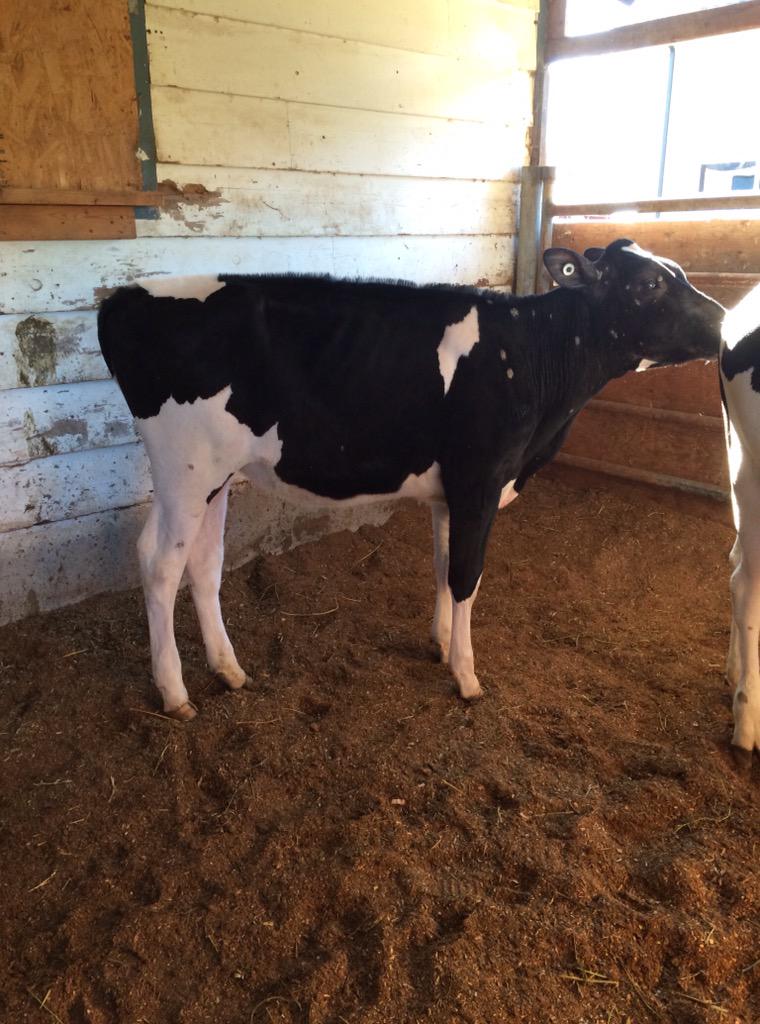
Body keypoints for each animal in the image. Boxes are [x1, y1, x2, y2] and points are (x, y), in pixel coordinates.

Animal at [98, 239, 723, 720]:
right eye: (650, 284)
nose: (724, 322)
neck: (530, 357)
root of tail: (124, 296)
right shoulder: (480, 481)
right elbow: (468, 577)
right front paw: (466, 677)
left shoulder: (451, 494)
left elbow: (445, 568)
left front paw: (441, 644)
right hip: (185, 467)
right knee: (161, 564)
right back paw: (174, 692)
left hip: (215, 474)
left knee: (204, 563)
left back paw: (229, 670)